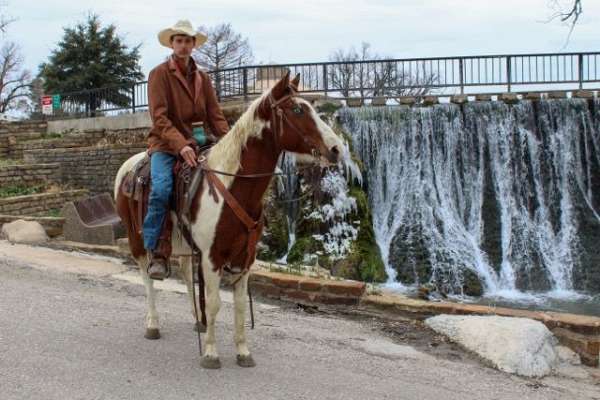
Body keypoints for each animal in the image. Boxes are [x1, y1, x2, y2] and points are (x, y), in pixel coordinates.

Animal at [114, 72, 344, 368]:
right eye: (297, 110)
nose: (336, 149)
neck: (231, 188)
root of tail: (128, 166)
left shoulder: (243, 258)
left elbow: (240, 307)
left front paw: (243, 351)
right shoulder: (213, 257)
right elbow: (214, 303)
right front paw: (211, 353)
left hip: (184, 245)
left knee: (186, 274)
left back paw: (197, 320)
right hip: (137, 239)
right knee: (147, 278)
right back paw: (153, 323)